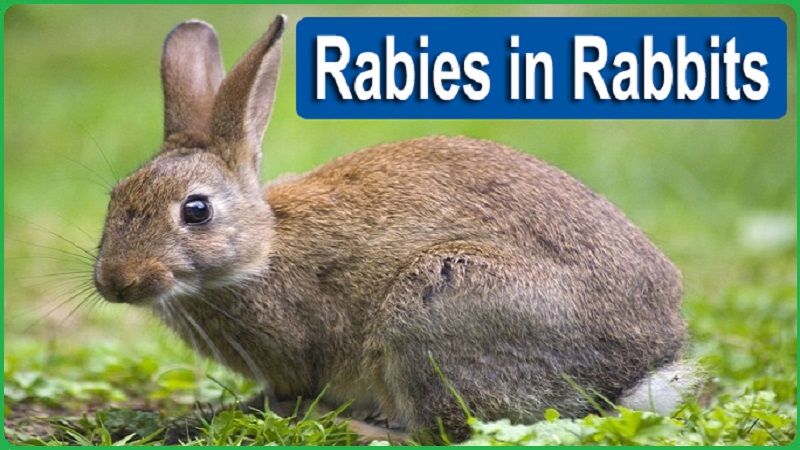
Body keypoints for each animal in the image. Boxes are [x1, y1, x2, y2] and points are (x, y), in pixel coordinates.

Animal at [92, 15, 700, 443]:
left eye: (196, 211)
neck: (262, 248)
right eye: (115, 199)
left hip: (437, 305)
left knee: (442, 431)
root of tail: (634, 372)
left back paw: (344, 425)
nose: (117, 282)